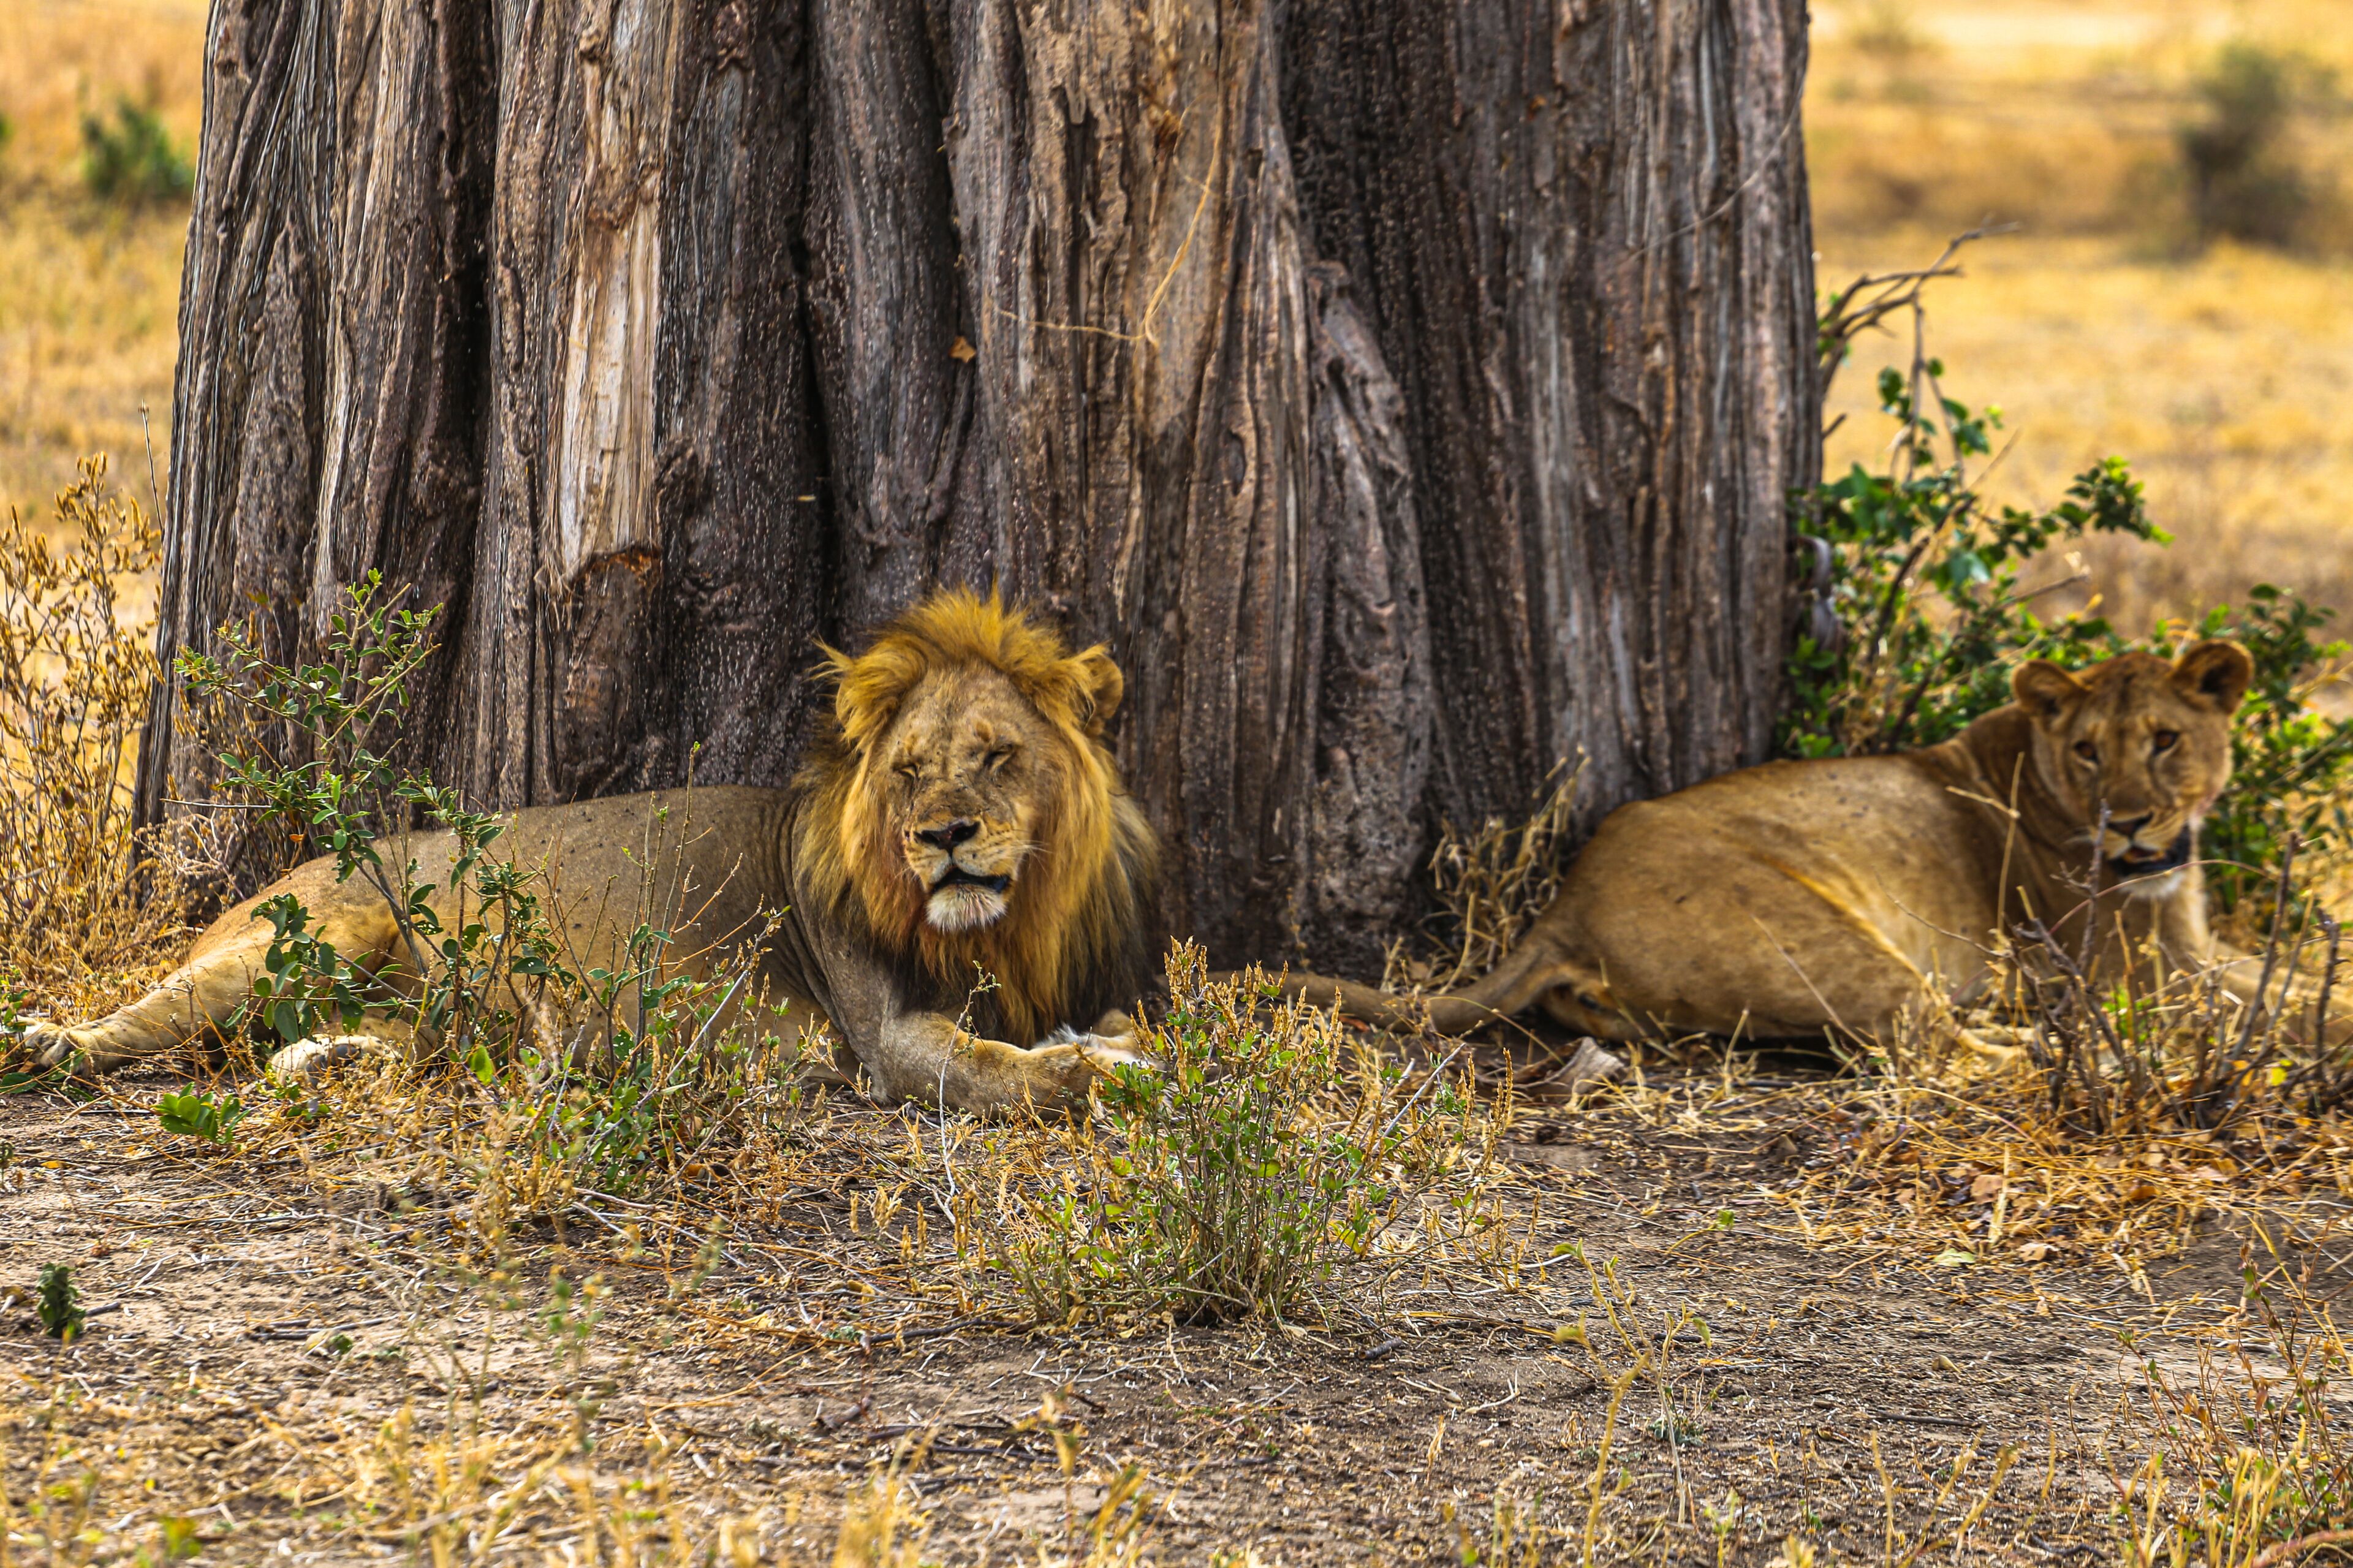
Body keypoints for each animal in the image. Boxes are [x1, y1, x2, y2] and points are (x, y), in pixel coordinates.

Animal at [27, 590, 1162, 1113]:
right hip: (302, 936)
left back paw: (333, 1058)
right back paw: (44, 1043)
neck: (1002, 927)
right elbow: (1009, 1068)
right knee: (143, 1018)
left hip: (404, 1013)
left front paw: (1121, 1046)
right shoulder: (885, 1039)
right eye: (909, 771)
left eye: (998, 755)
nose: (944, 835)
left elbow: (1089, 1028)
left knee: (315, 1046)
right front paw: (1109, 1076)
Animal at [1283, 641, 2260, 1052]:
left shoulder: (2195, 951)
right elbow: (2285, 1005)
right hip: (1836, 946)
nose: (2130, 820)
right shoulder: (2147, 977)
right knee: (1932, 1046)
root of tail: (1567, 902)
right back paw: (2049, 1051)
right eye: (2090, 749)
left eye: (2165, 739)